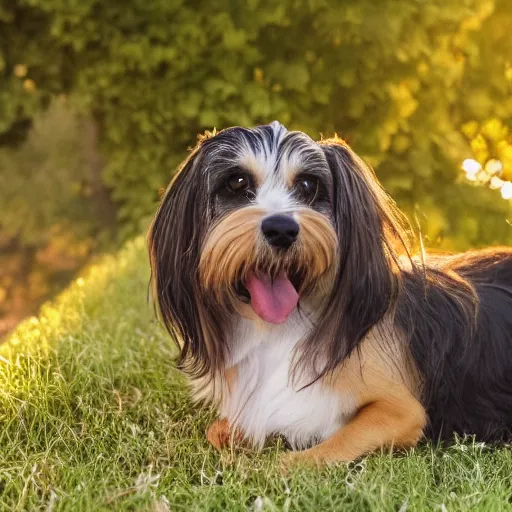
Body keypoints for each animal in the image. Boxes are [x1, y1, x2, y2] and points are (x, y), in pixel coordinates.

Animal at [147, 122, 512, 466]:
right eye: (237, 183)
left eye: (308, 186)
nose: (282, 229)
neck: (283, 328)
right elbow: (218, 430)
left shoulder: (400, 411)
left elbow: (321, 451)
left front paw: (275, 465)